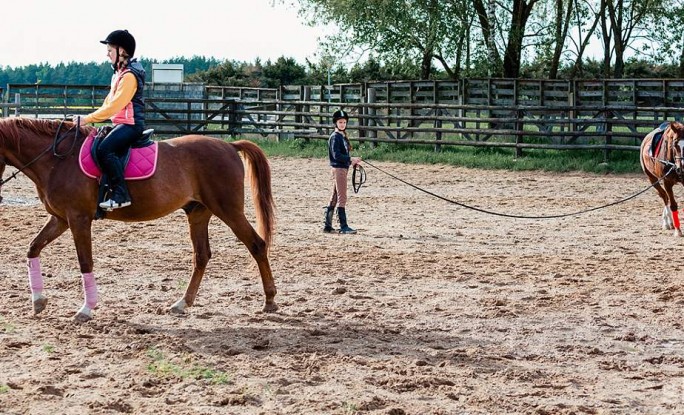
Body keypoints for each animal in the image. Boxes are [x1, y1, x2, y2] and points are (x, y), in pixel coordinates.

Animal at [0, 117, 278, 322]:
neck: (58, 159)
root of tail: (229, 146)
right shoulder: (61, 219)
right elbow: (33, 247)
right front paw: (38, 302)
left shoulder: (78, 219)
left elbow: (85, 262)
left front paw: (86, 310)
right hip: (198, 213)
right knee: (202, 256)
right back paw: (182, 303)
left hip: (229, 210)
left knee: (256, 245)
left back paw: (270, 300)